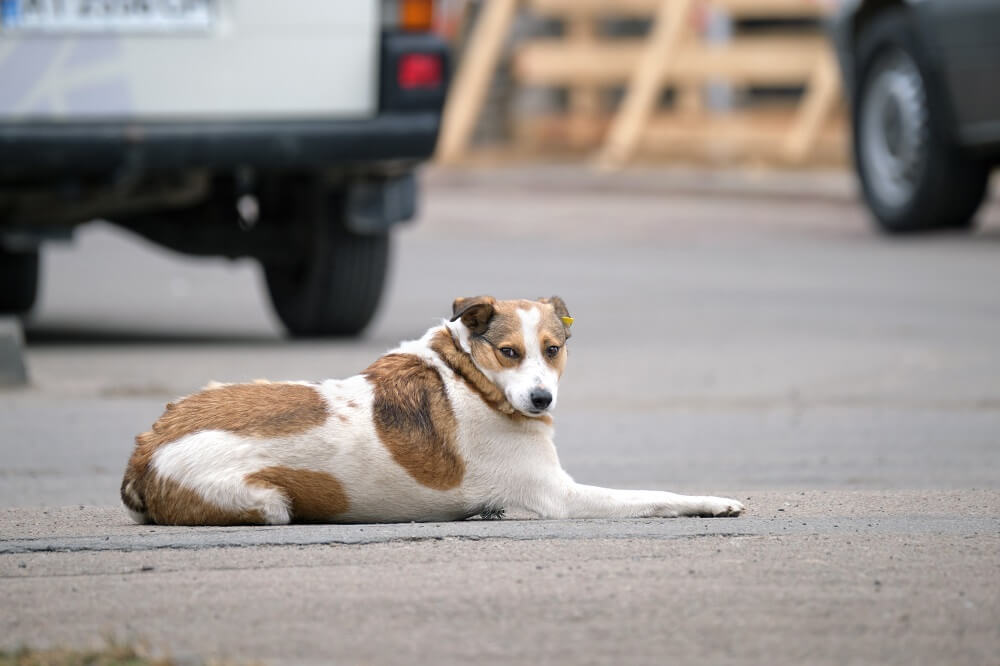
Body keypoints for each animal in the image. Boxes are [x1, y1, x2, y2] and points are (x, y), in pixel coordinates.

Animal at [121, 296, 744, 524]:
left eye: (552, 349)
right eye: (509, 351)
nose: (541, 398)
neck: (471, 377)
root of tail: (145, 452)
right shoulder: (559, 497)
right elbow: (657, 495)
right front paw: (715, 501)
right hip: (268, 504)